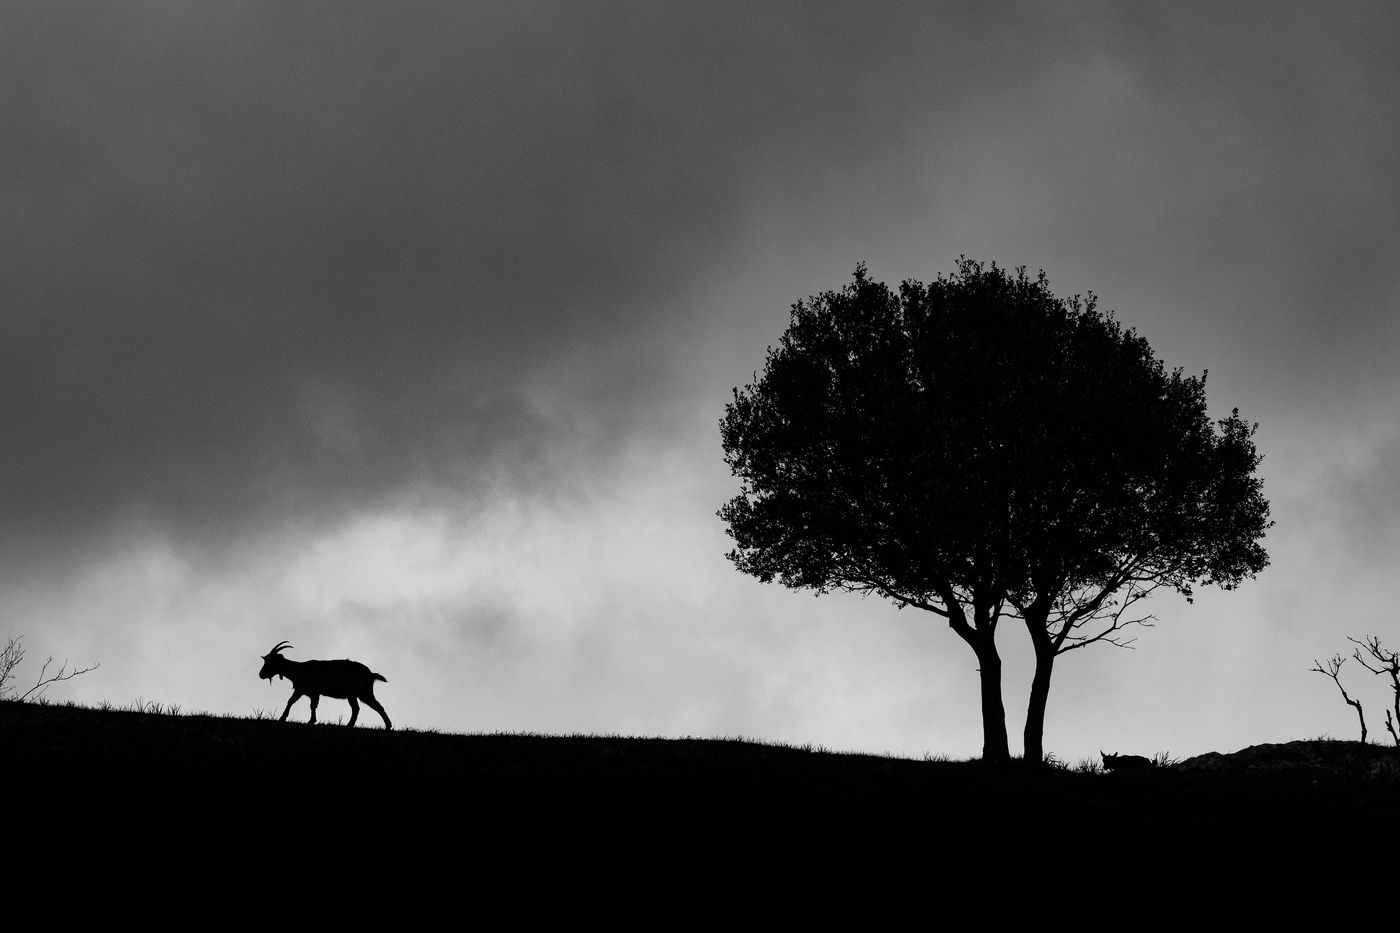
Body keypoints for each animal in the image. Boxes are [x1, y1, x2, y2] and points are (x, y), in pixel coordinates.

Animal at [259, 638, 392, 728]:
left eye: (270, 662)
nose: (261, 675)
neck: (298, 669)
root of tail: (371, 674)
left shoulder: (308, 691)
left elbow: (301, 703)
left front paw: (287, 719)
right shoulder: (308, 692)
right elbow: (302, 703)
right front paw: (309, 720)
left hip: (358, 693)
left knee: (362, 708)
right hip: (360, 693)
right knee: (369, 707)